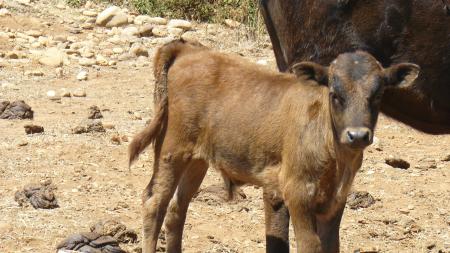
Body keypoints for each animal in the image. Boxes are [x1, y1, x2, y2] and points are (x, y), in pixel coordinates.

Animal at [128, 40, 420, 253]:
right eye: (335, 94)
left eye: (378, 95)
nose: (357, 135)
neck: (336, 157)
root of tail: (189, 49)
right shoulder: (296, 191)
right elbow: (309, 245)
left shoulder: (337, 199)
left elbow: (330, 245)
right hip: (172, 149)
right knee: (154, 203)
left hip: (197, 160)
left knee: (177, 210)